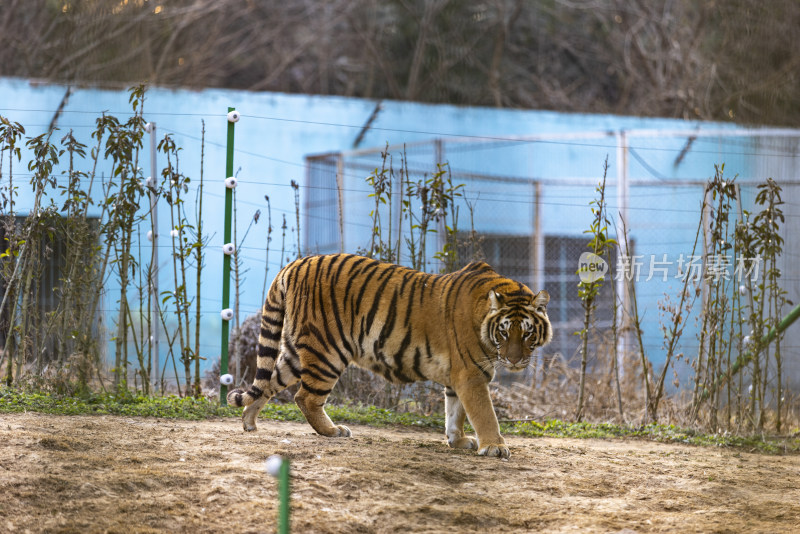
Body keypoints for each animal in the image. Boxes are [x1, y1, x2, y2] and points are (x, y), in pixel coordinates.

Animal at [225, 255, 552, 460]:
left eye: (527, 333)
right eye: (504, 332)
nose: (514, 361)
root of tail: (294, 265)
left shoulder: (458, 376)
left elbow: (455, 412)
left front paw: (457, 441)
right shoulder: (471, 373)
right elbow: (484, 413)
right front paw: (495, 447)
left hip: (294, 352)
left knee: (268, 383)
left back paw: (249, 422)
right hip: (326, 350)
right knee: (304, 397)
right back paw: (333, 431)